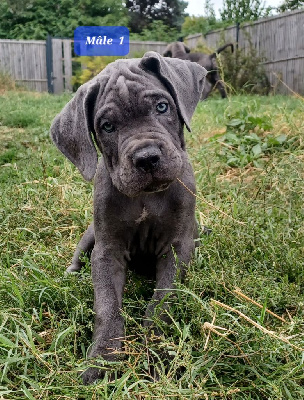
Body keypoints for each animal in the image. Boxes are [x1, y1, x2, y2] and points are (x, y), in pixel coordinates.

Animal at [50, 50, 207, 384]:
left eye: (162, 107)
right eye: (108, 126)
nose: (147, 158)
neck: (147, 196)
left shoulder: (178, 248)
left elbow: (163, 301)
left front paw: (157, 348)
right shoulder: (107, 250)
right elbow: (107, 303)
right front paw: (103, 358)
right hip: (89, 236)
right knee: (79, 256)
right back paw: (70, 273)